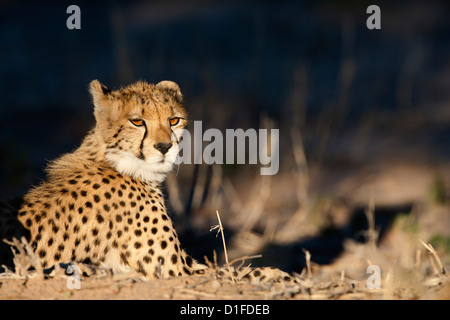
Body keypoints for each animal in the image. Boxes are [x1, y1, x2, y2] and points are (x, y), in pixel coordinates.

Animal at [0, 80, 294, 284]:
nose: (165, 146)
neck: (115, 161)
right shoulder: (176, 271)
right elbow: (234, 274)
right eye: (137, 122)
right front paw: (281, 275)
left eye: (174, 120)